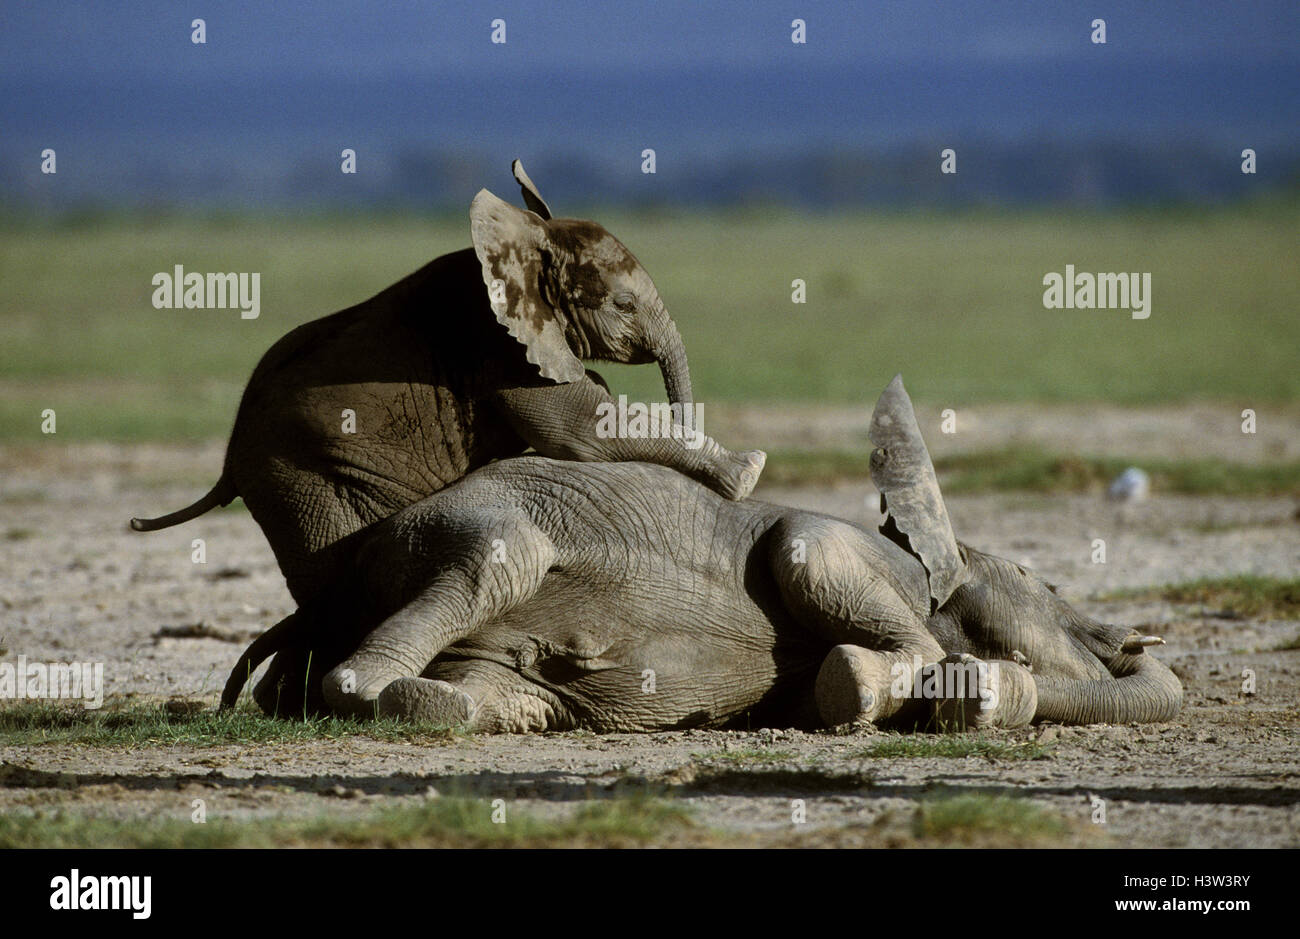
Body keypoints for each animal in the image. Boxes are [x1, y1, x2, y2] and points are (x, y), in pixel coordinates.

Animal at [220, 374, 1180, 733]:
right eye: (1039, 578)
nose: (1129, 639)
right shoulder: (843, 545)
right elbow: (814, 559)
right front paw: (880, 685)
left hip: (490, 660)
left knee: (501, 700)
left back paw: (434, 700)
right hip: (474, 524)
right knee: (498, 561)